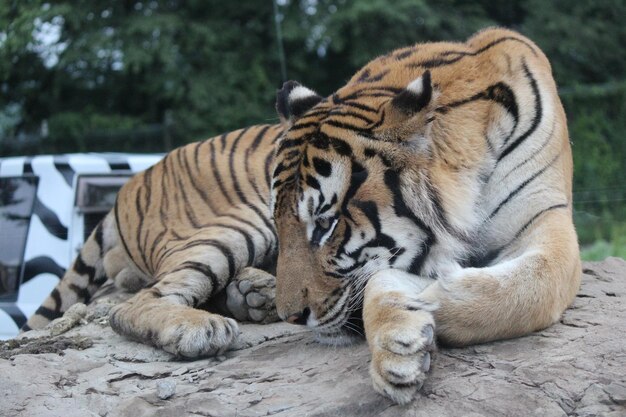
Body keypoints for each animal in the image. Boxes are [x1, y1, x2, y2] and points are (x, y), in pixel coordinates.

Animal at [270, 26, 576, 404]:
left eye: (325, 224)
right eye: (277, 224)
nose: (290, 317)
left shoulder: (545, 216)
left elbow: (527, 285)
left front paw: (428, 298)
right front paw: (397, 343)